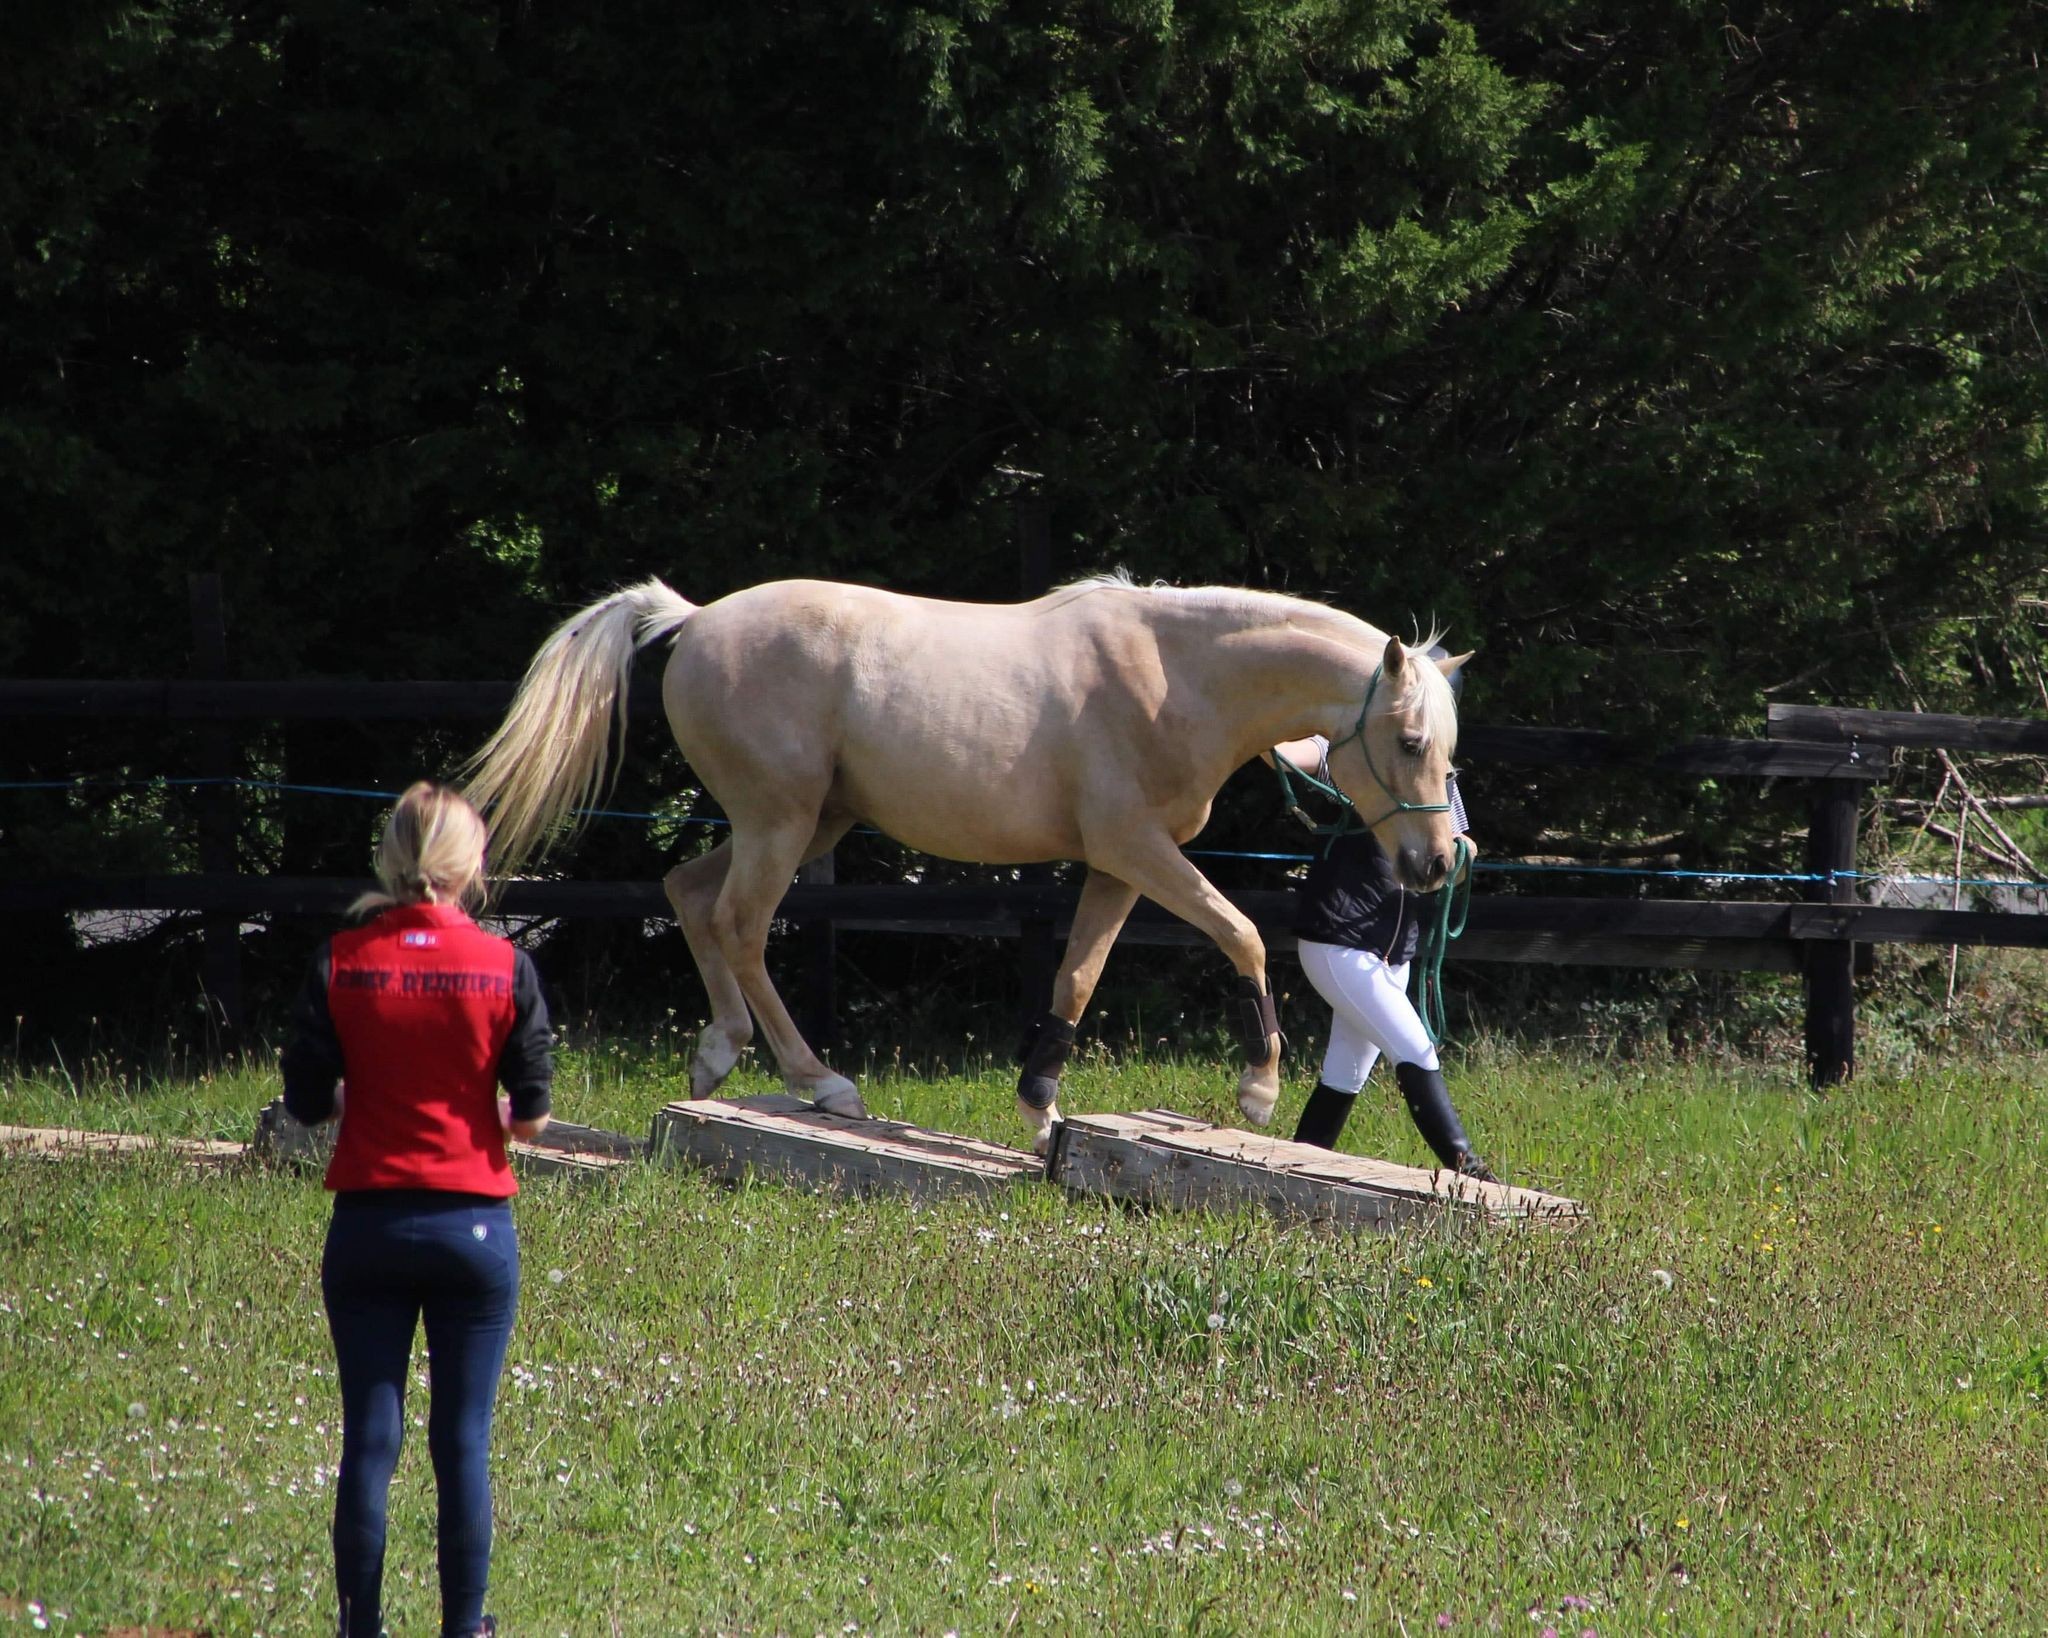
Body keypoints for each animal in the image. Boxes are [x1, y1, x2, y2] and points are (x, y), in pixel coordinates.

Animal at [464, 577, 1466, 1154]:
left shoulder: (1115, 866)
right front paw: (1258, 1092)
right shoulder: (1141, 850)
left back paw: (718, 1055)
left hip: (804, 823)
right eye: (1412, 741)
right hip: (780, 824)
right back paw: (822, 1084)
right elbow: (1246, 935)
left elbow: (1076, 978)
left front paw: (1040, 1106)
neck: (1176, 676)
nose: (1433, 866)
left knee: (690, 896)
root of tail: (698, 618)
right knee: (743, 926)